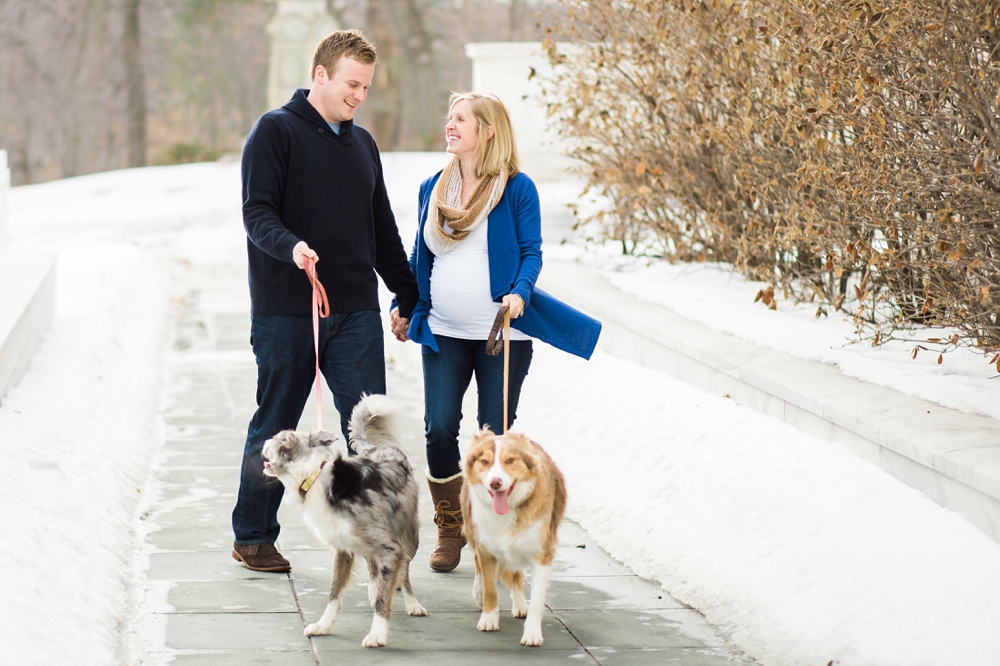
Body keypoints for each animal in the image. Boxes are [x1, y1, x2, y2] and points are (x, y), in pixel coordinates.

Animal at [458, 426, 564, 644]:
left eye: (510, 460)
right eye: (485, 461)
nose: (495, 483)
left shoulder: (542, 553)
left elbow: (537, 599)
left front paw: (532, 633)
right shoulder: (486, 548)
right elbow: (491, 589)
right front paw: (489, 619)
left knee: (516, 574)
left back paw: (521, 604)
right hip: (473, 529)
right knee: (478, 563)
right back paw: (479, 591)